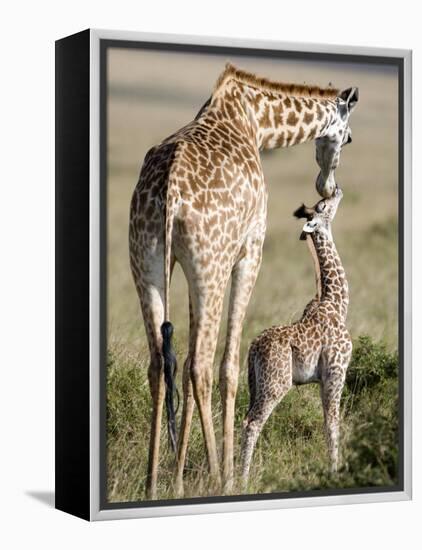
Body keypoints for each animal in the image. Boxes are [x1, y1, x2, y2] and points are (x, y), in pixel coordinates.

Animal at [241, 189, 352, 488]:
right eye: (323, 205)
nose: (337, 191)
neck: (337, 303)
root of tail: (253, 349)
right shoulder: (336, 371)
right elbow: (332, 423)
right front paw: (335, 471)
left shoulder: (323, 378)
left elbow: (327, 421)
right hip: (276, 384)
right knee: (252, 423)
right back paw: (239, 480)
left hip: (255, 383)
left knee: (244, 419)